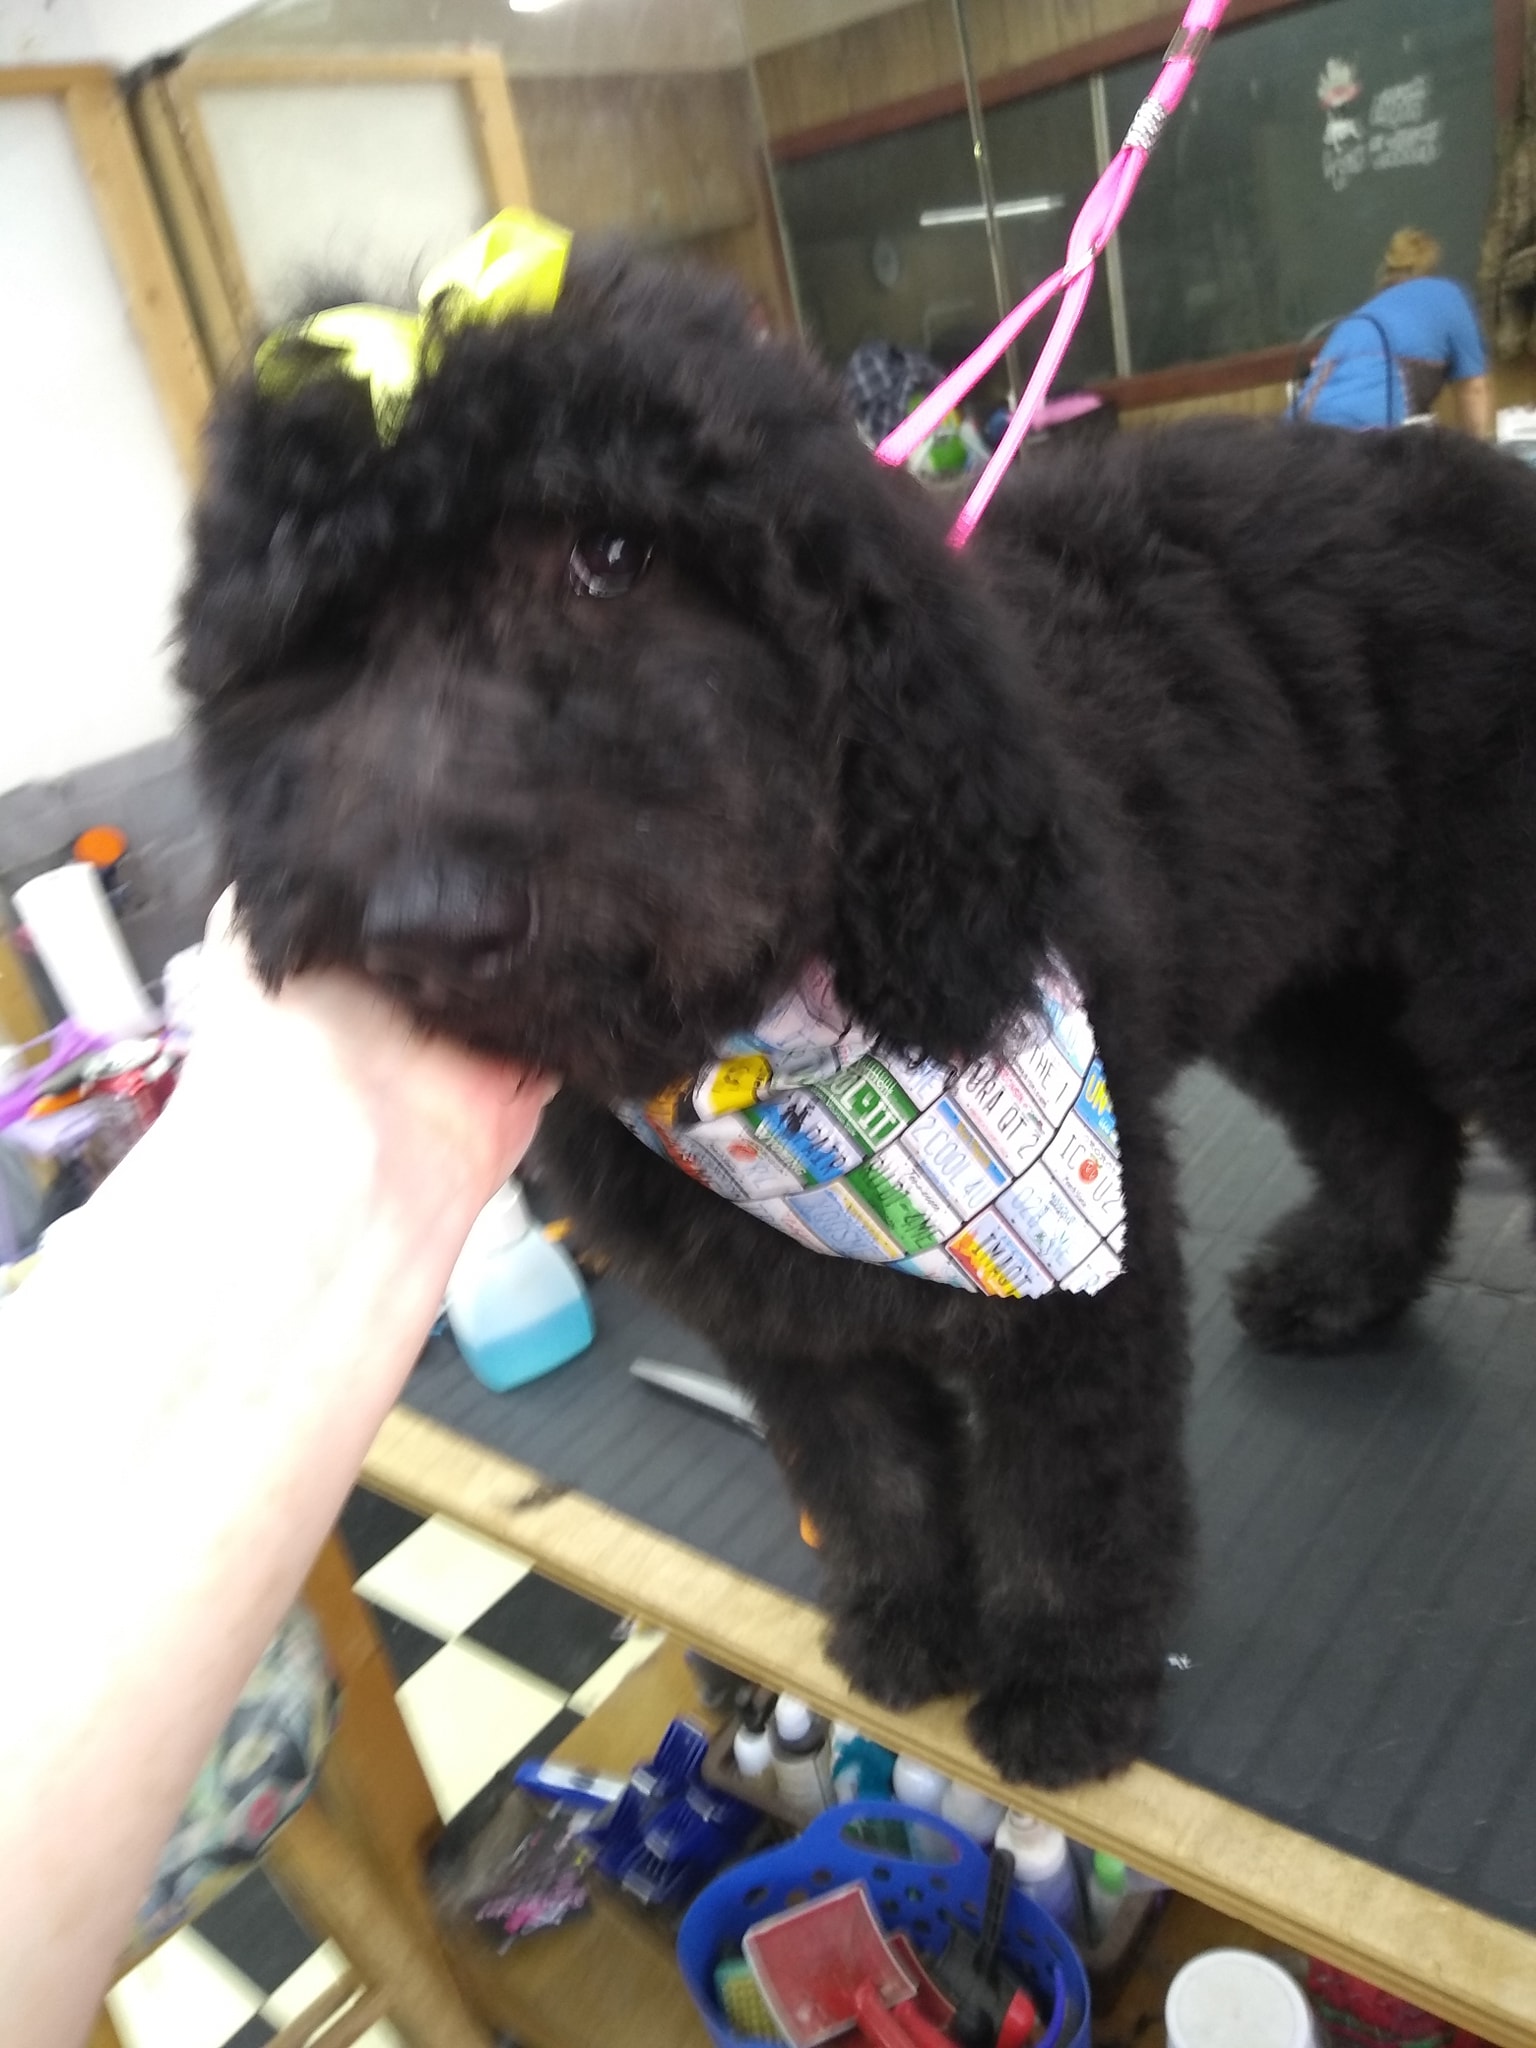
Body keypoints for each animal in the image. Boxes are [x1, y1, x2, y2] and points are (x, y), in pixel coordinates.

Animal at [180, 244, 1536, 1787]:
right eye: (334, 635)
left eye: (615, 555)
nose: (429, 917)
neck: (750, 1038)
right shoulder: (773, 1315)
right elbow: (868, 1475)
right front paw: (905, 1622)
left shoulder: (1086, 1290)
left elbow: (1069, 1506)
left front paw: (1068, 1684)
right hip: (1298, 961)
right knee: (1387, 1126)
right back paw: (1343, 1285)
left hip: (1480, 949)